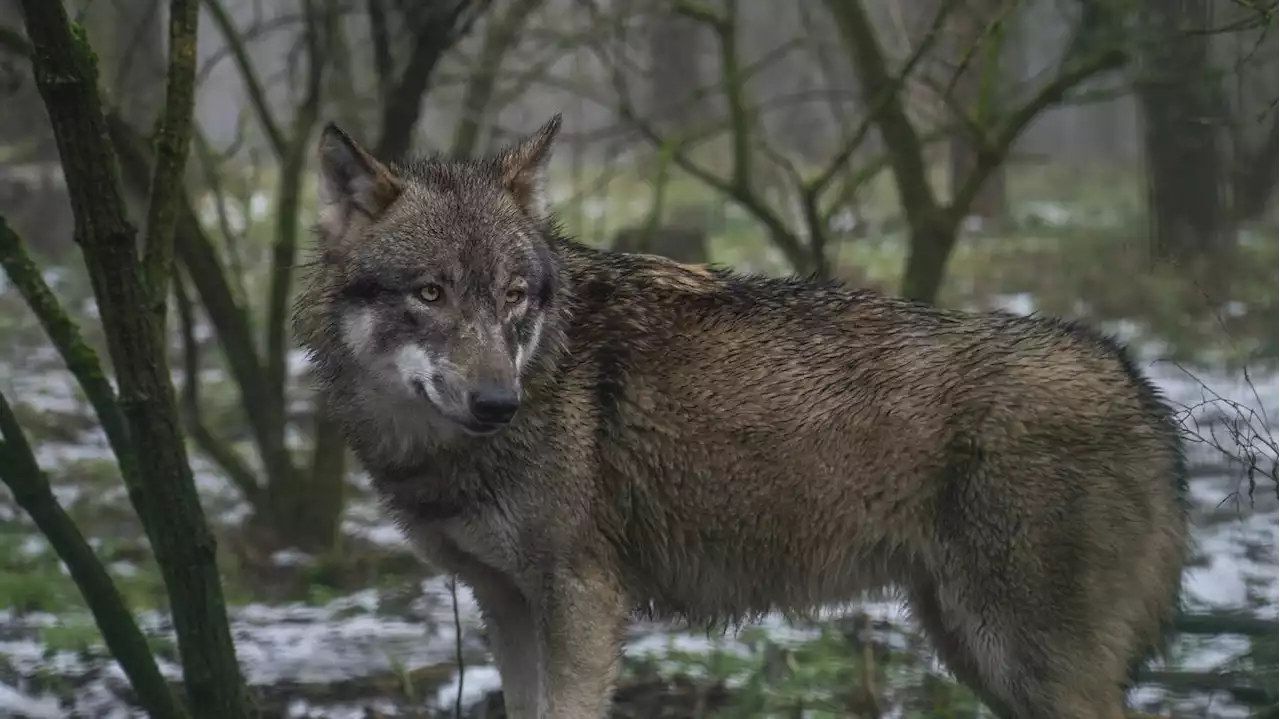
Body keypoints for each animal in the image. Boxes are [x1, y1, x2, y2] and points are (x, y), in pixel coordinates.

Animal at [294, 116, 1192, 716]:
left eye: (514, 295)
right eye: (430, 292)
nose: (497, 402)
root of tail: (1131, 375)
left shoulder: (579, 601)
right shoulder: (506, 604)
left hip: (1024, 661)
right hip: (976, 653)